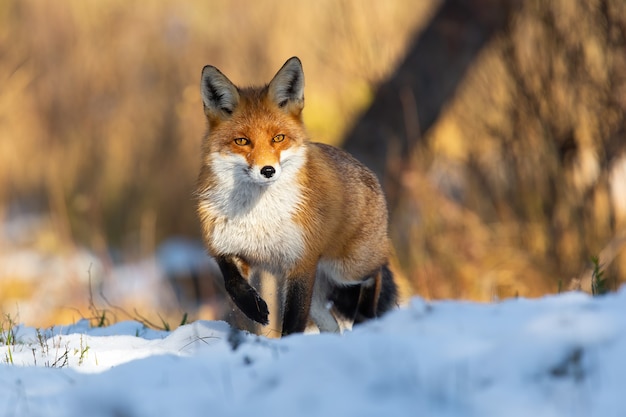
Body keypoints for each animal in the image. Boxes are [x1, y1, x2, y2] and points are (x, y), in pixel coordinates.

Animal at [197, 57, 398, 334]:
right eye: (242, 141)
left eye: (278, 138)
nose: (268, 170)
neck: (258, 215)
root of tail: (365, 170)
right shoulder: (227, 245)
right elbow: (232, 282)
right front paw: (254, 307)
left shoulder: (301, 263)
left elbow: (293, 321)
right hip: (320, 290)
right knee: (333, 325)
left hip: (347, 268)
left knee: (375, 273)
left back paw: (366, 317)